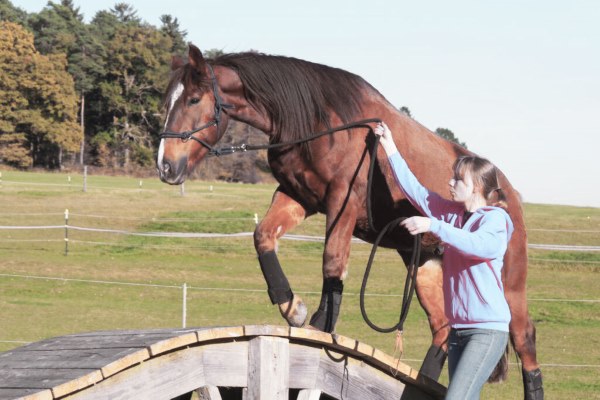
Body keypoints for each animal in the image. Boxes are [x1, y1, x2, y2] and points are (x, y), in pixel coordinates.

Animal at [158, 44, 544, 396]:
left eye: (193, 99)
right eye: (167, 101)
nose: (165, 166)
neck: (323, 123)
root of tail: (508, 192)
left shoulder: (342, 201)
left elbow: (332, 262)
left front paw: (319, 325)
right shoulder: (298, 196)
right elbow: (263, 235)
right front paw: (292, 307)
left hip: (510, 282)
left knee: (524, 339)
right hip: (425, 265)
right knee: (443, 328)